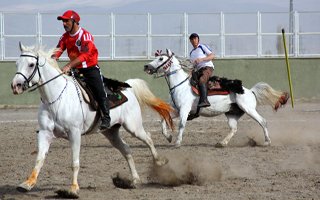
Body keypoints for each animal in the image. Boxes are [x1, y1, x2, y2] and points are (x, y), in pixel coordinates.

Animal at [11, 43, 174, 198]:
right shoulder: (45, 133)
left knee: (148, 138)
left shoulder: (74, 134)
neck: (56, 99)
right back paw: (134, 180)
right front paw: (27, 184)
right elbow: (39, 160)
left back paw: (159, 162)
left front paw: (73, 189)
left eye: (31, 64)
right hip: (111, 132)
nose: (15, 86)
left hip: (133, 127)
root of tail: (129, 89)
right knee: (126, 149)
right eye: (17, 63)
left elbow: (75, 163)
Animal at [144, 48, 288, 147]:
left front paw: (177, 142)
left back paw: (267, 142)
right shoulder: (176, 110)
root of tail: (250, 91)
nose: (146, 66)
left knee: (263, 121)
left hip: (249, 109)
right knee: (234, 128)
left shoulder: (184, 110)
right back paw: (222, 143)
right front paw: (168, 137)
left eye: (161, 59)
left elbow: (181, 125)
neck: (180, 85)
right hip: (231, 114)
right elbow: (162, 120)